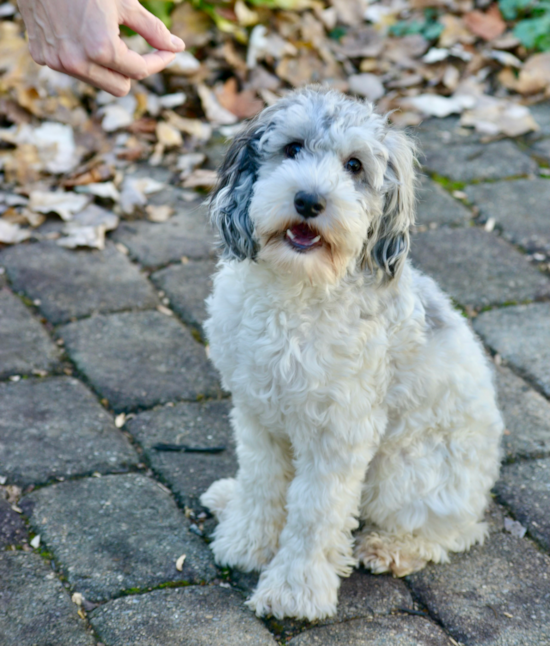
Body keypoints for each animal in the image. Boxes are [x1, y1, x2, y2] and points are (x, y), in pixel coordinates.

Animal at [201, 86, 506, 624]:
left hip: (405, 470)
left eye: (355, 166)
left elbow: (313, 515)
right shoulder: (257, 413)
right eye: (292, 148)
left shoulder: (339, 434)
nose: (308, 200)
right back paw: (228, 498)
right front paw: (245, 542)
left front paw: (293, 592)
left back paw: (391, 547)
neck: (297, 289)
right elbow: (262, 482)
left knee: (454, 531)